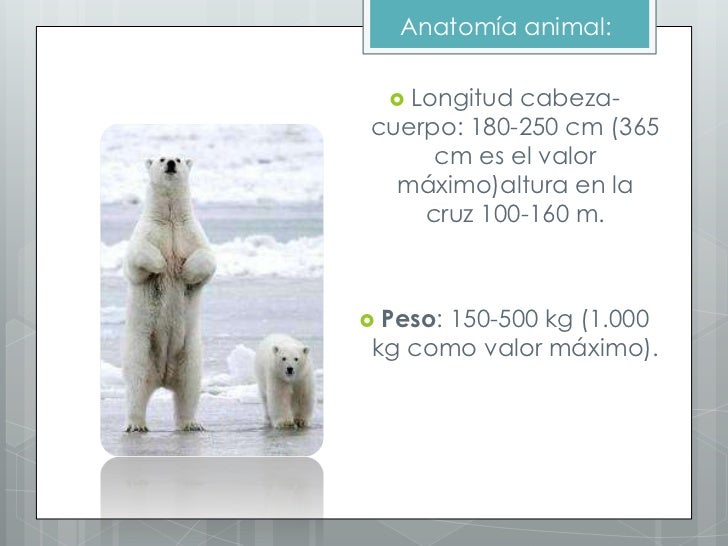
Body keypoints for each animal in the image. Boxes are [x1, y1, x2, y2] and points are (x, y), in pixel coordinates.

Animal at [122, 156, 216, 432]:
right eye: (162, 158)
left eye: (179, 157)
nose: (172, 163)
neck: (171, 220)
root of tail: (163, 377)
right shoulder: (147, 233)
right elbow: (136, 259)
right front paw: (161, 265)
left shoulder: (191, 234)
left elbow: (207, 258)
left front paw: (185, 272)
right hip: (141, 347)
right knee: (136, 382)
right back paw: (136, 424)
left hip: (190, 351)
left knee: (189, 386)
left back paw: (191, 423)